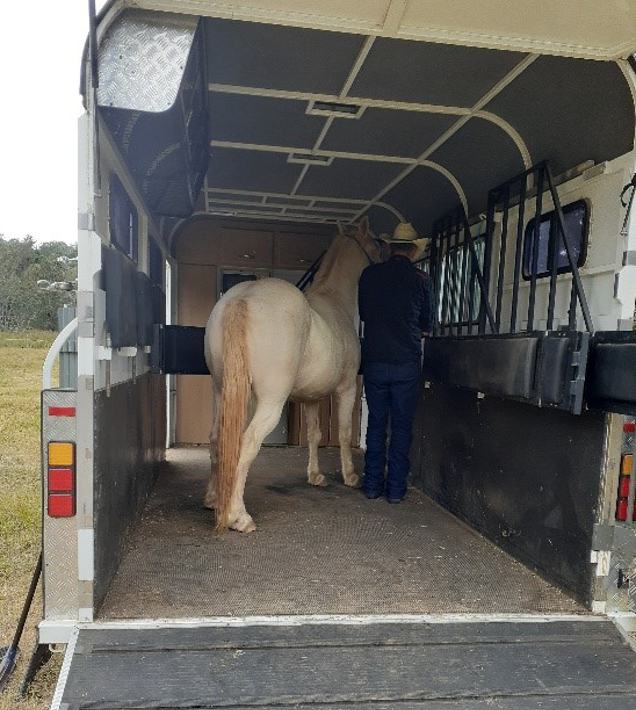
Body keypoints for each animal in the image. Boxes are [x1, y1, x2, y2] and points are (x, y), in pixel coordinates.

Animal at [203, 217, 382, 533]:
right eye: (374, 243)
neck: (334, 302)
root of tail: (243, 297)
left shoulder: (311, 398)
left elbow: (314, 434)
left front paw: (315, 476)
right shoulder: (347, 388)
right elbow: (344, 432)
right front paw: (350, 477)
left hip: (220, 389)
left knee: (216, 438)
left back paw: (214, 500)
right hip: (270, 402)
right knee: (247, 442)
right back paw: (239, 516)